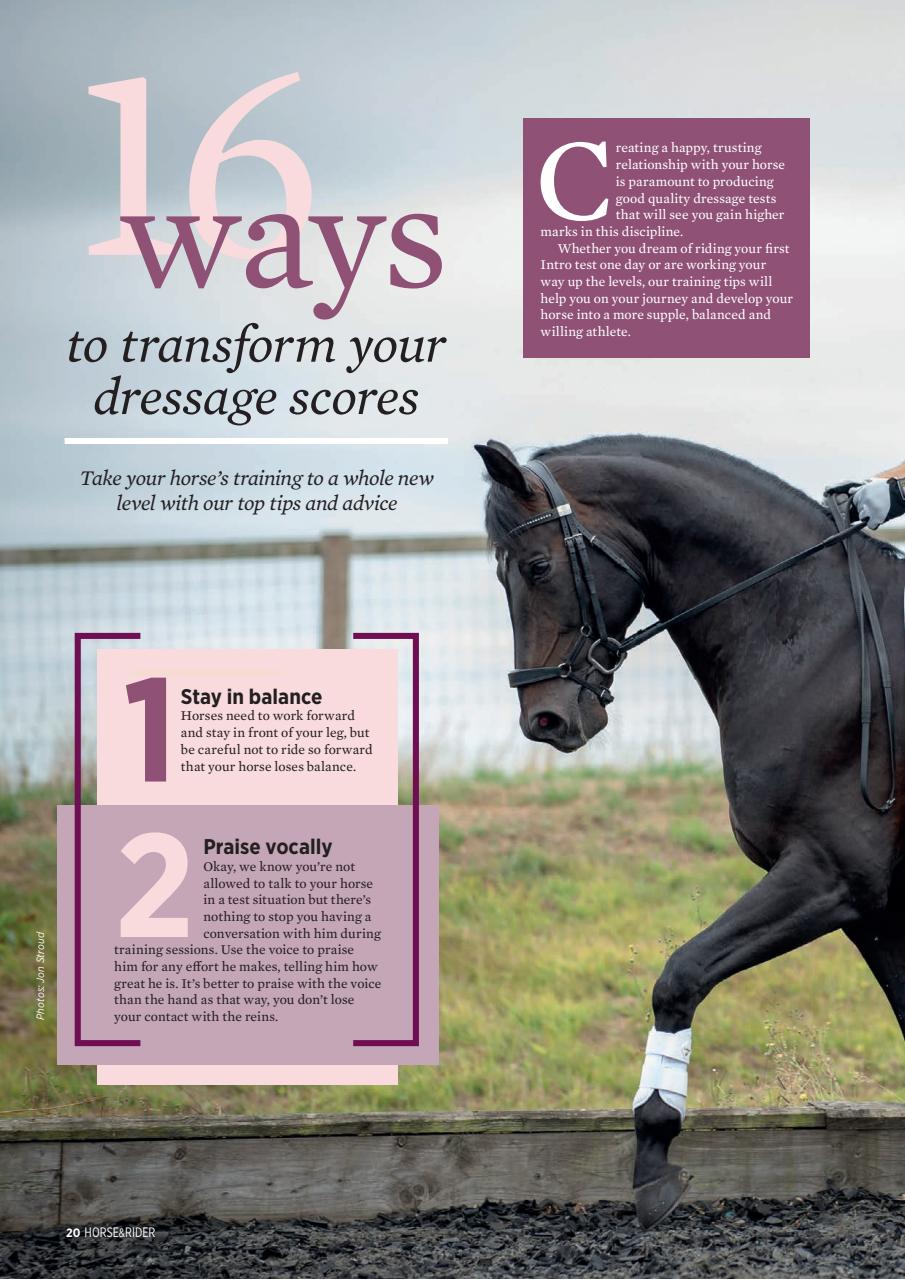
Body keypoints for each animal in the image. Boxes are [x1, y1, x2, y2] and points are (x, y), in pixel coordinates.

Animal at [476, 435, 905, 1228]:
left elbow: (680, 974)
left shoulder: (831, 872)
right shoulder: (874, 906)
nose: (543, 719)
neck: (815, 640)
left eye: (538, 566)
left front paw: (652, 1158)